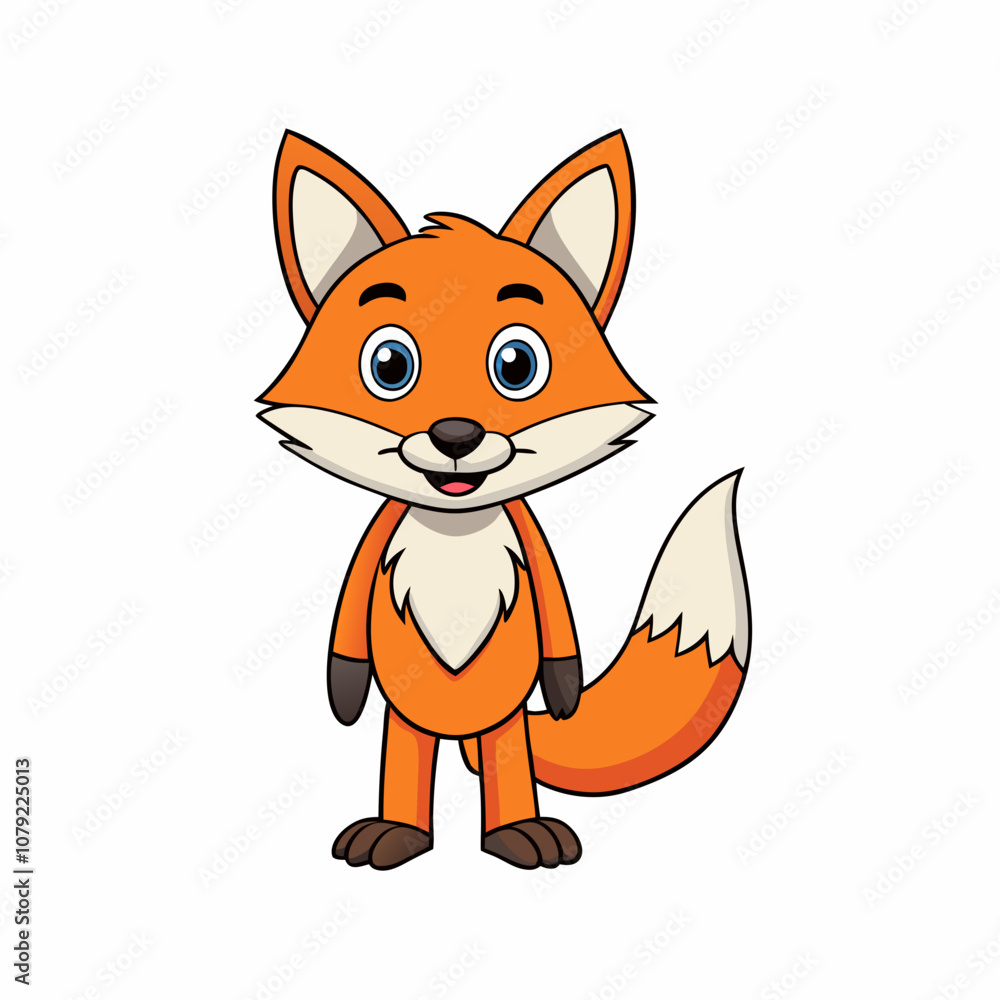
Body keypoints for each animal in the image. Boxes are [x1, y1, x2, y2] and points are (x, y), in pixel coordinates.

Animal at [257, 129, 751, 871]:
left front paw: (567, 694)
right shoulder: (376, 543)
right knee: (407, 753)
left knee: (505, 756)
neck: (455, 526)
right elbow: (347, 639)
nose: (455, 434)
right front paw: (343, 698)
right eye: (389, 365)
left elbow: (559, 634)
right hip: (406, 718)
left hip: (506, 720)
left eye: (516, 364)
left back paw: (520, 833)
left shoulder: (533, 549)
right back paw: (396, 833)